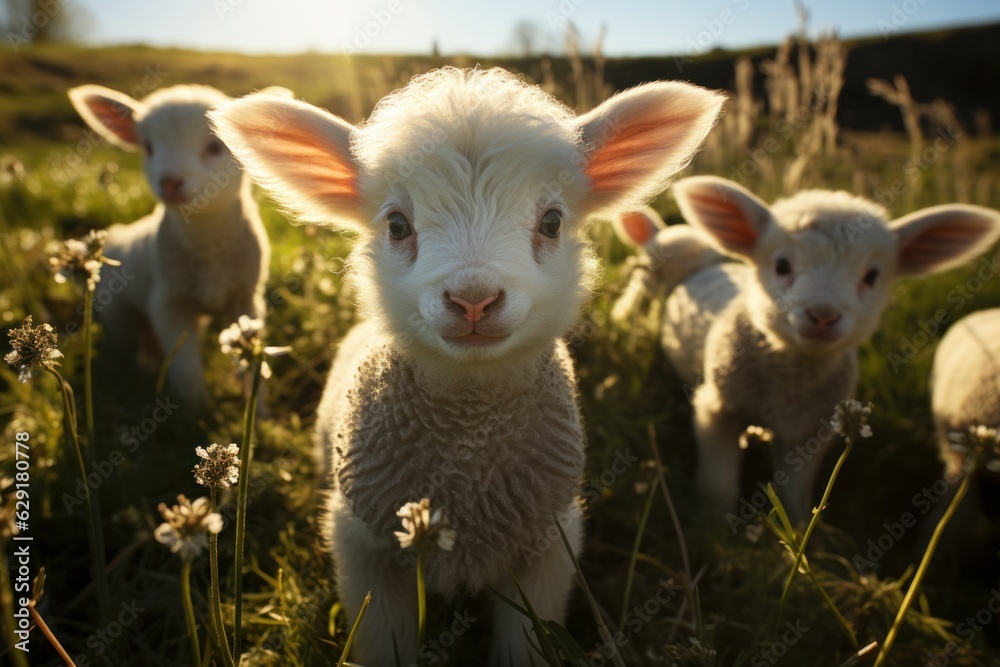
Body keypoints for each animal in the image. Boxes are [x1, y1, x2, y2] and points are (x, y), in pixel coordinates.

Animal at [67, 84, 288, 405]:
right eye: (148, 147)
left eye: (215, 147)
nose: (169, 182)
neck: (206, 238)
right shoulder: (169, 304)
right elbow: (186, 371)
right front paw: (196, 411)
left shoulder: (246, 299)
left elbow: (252, 363)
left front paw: (258, 409)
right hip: (118, 314)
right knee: (127, 347)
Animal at [210, 67, 724, 666]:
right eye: (397, 225)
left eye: (552, 221)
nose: (474, 300)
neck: (469, 431)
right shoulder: (364, 545)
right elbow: (385, 642)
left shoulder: (548, 541)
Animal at [613, 176, 1000, 525]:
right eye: (782, 265)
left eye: (872, 276)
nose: (823, 315)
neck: (789, 379)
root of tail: (703, 262)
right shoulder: (719, 409)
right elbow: (717, 486)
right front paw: (713, 529)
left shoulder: (812, 431)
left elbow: (795, 495)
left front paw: (797, 534)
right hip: (645, 288)